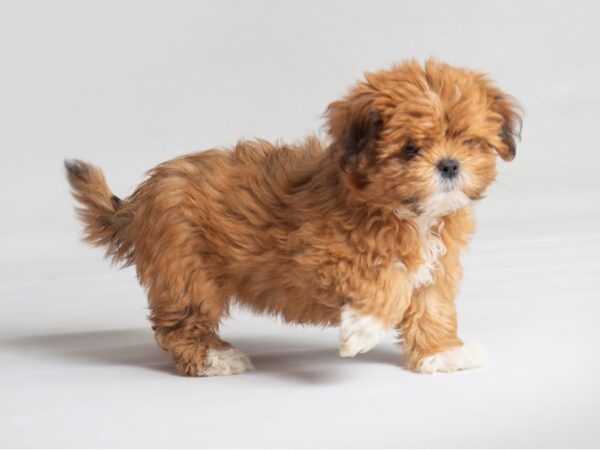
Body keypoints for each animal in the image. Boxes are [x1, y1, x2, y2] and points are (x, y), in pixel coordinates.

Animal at [67, 59, 520, 376]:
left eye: (469, 141)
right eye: (410, 148)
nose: (449, 165)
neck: (407, 211)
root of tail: (142, 198)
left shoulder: (436, 269)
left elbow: (430, 307)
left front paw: (442, 353)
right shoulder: (318, 256)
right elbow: (386, 281)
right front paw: (362, 330)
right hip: (185, 272)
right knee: (180, 324)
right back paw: (213, 358)